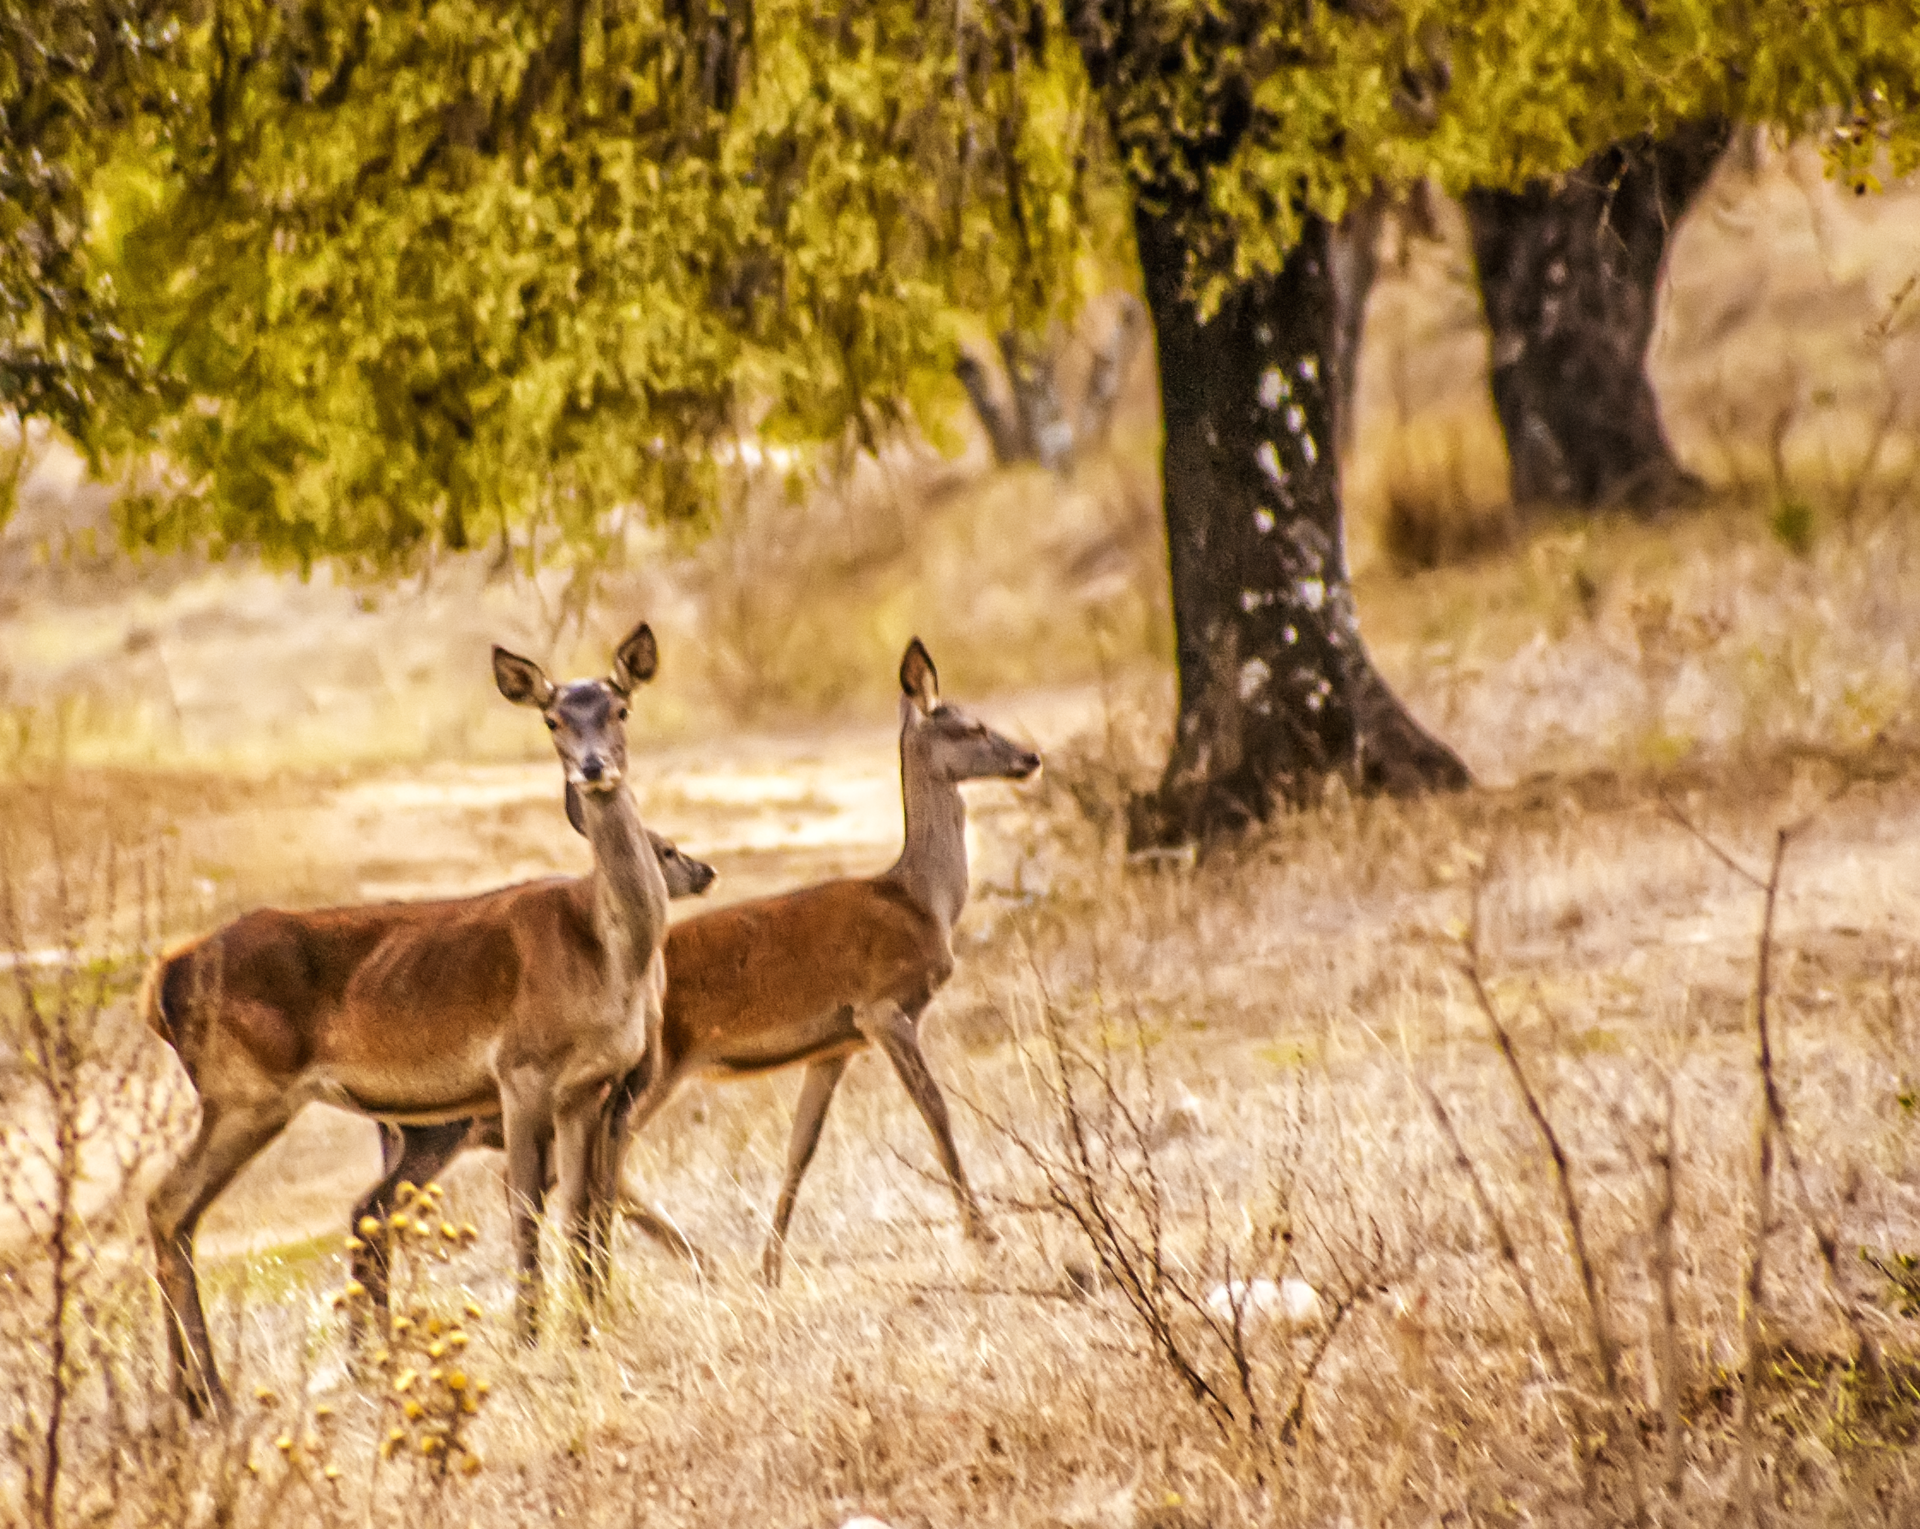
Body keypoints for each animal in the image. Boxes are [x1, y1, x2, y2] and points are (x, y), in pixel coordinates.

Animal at [142, 622, 672, 1418]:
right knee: (167, 1204)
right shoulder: (520, 1069)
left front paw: (588, 1328)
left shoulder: (590, 1085)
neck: (608, 955)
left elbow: (582, 1205)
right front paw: (528, 1339)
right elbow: (525, 1203)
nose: (592, 768)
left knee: (183, 1214)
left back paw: (195, 1401)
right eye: (553, 718)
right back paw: (214, 1396)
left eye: (620, 708)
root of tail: (163, 980)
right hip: (245, 1090)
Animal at [369, 637, 1041, 1291]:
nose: (1030, 758)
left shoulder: (834, 1045)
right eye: (972, 725)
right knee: (562, 1173)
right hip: (648, 1072)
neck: (921, 901)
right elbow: (936, 1110)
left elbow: (801, 1146)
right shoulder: (884, 1009)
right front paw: (986, 1239)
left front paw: (769, 1268)